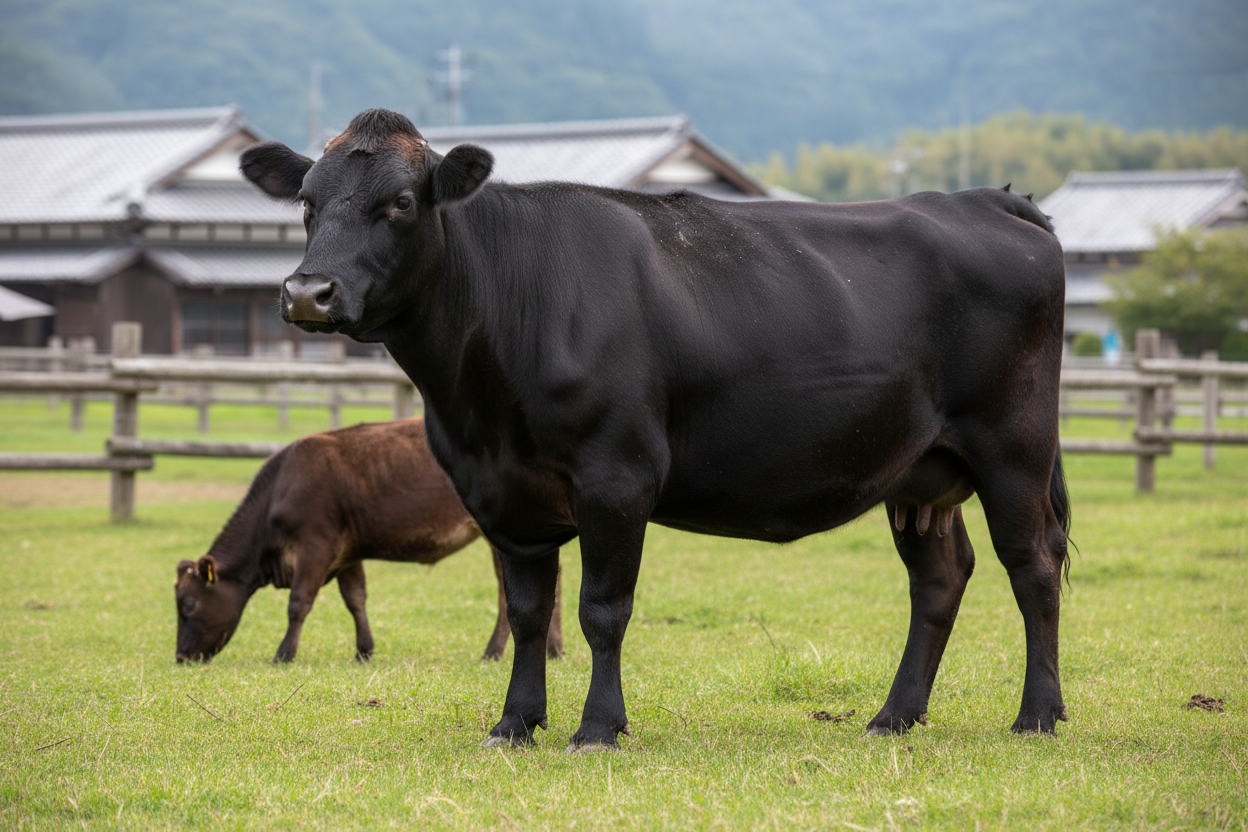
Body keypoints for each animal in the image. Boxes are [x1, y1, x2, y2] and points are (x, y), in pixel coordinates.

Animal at [174, 418, 564, 664]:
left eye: (189, 605)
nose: (180, 656)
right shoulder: (347, 553)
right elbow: (355, 600)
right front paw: (364, 650)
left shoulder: (316, 547)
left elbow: (299, 603)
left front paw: (284, 654)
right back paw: (554, 649)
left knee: (507, 591)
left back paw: (494, 651)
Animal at [240, 109, 1071, 751]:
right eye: (307, 204)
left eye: (403, 203)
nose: (308, 292)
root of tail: (980, 201)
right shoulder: (501, 493)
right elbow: (529, 612)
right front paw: (515, 723)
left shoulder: (616, 476)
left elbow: (601, 609)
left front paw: (597, 728)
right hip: (919, 469)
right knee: (940, 577)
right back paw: (894, 716)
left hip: (1013, 447)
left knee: (1032, 565)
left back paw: (1036, 715)